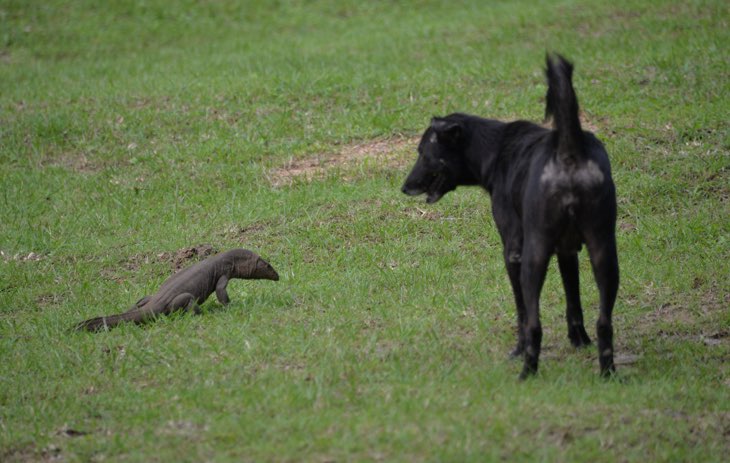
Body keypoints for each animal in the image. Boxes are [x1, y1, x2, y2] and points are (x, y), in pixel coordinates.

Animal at [400, 55, 616, 380]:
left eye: (423, 152)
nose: (404, 187)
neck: (495, 147)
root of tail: (569, 149)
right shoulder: (568, 251)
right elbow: (573, 299)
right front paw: (579, 341)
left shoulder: (513, 250)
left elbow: (523, 311)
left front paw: (518, 349)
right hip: (604, 251)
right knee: (604, 321)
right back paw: (608, 372)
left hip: (534, 256)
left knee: (534, 323)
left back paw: (528, 370)